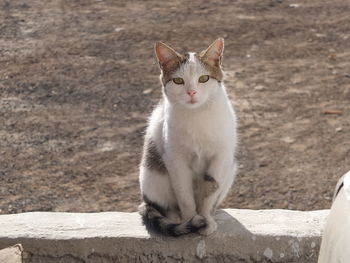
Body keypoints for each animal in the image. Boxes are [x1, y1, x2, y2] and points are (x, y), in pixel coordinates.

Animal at [137, 37, 238, 237]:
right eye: (178, 81)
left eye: (203, 78)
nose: (191, 92)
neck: (196, 115)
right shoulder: (176, 160)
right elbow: (184, 195)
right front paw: (191, 220)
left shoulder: (220, 157)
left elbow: (209, 191)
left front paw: (206, 220)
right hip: (152, 176)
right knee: (162, 206)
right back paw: (175, 218)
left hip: (230, 169)